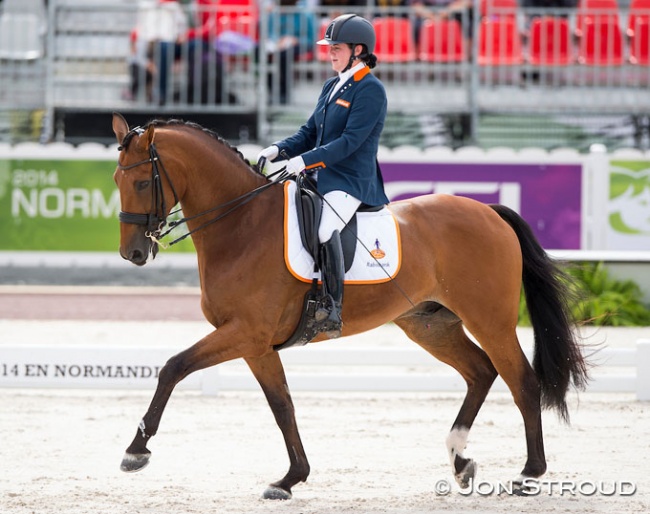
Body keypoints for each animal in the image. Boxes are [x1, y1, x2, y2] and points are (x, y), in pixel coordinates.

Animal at [111, 113, 588, 500]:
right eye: (116, 181)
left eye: (141, 182)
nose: (132, 253)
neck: (241, 225)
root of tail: (489, 211)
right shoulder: (256, 345)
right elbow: (282, 405)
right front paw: (290, 478)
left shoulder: (245, 332)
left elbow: (173, 367)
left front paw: (136, 450)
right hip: (431, 326)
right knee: (480, 372)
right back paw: (460, 460)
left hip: (491, 322)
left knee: (521, 382)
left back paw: (528, 474)